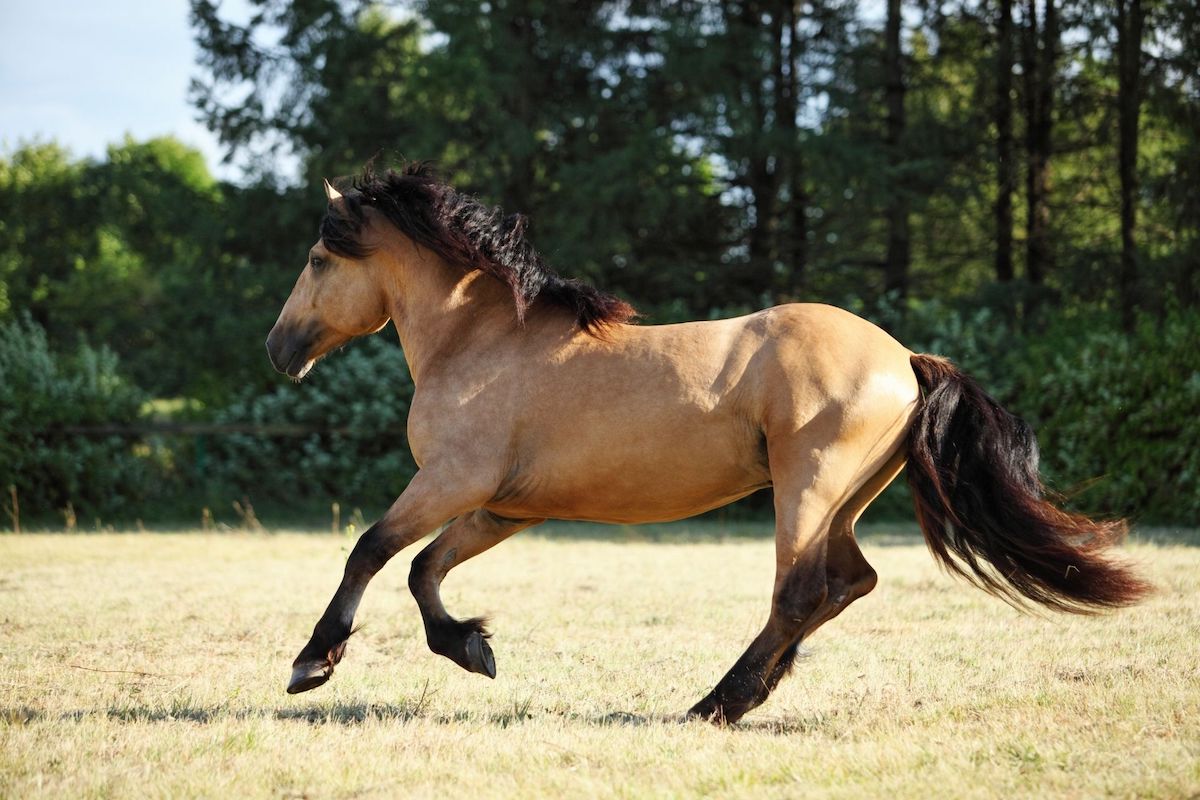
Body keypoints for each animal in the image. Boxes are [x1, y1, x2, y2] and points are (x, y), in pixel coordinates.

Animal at [266, 163, 1148, 725]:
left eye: (316, 258)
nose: (279, 350)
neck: (480, 341)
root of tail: (903, 358)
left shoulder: (451, 482)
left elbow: (371, 550)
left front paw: (313, 662)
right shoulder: (503, 508)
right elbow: (424, 569)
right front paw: (471, 648)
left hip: (807, 489)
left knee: (799, 591)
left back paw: (717, 702)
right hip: (841, 503)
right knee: (846, 583)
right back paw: (751, 690)